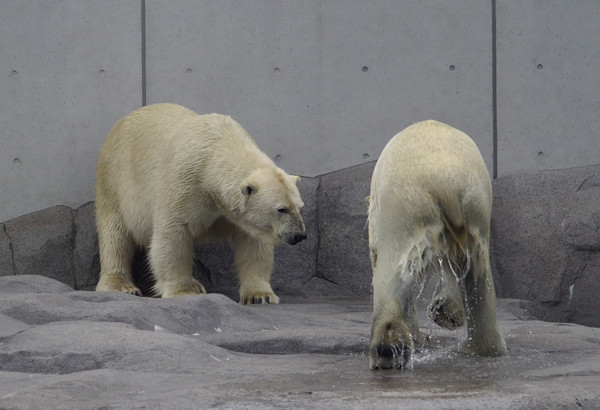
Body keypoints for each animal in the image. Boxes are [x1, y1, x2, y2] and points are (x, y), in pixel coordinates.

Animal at [97, 102, 310, 302]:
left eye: (299, 207)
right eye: (282, 209)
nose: (300, 235)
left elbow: (252, 243)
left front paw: (259, 295)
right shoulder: (184, 182)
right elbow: (172, 233)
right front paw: (183, 291)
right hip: (114, 181)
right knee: (115, 234)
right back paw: (121, 285)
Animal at [368, 120, 504, 370]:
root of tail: (446, 184)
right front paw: (447, 312)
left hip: (408, 206)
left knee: (394, 273)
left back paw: (387, 351)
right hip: (475, 206)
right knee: (479, 273)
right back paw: (481, 347)